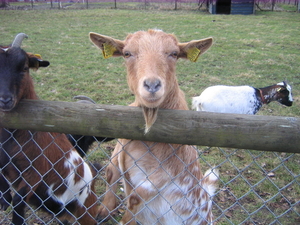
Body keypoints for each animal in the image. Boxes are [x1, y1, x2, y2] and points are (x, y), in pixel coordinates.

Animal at [0, 33, 98, 225]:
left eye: (24, 68)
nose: (4, 100)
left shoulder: (37, 171)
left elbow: (18, 200)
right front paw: (4, 199)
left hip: (86, 211)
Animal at [89, 29, 218, 225]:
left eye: (174, 54)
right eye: (127, 53)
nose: (152, 85)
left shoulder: (163, 175)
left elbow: (134, 201)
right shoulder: (120, 145)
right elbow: (111, 171)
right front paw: (103, 210)